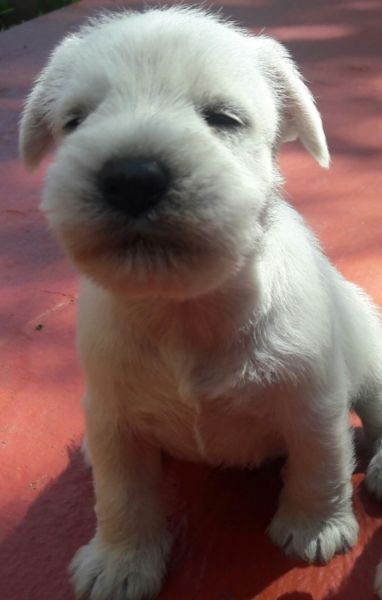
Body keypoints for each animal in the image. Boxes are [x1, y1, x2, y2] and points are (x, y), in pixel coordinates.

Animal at [19, 5, 382, 600]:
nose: (132, 178)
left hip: (368, 349)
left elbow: (320, 461)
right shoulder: (114, 418)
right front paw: (120, 562)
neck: (182, 309)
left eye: (224, 119)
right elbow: (122, 496)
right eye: (75, 120)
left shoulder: (312, 399)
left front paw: (315, 527)